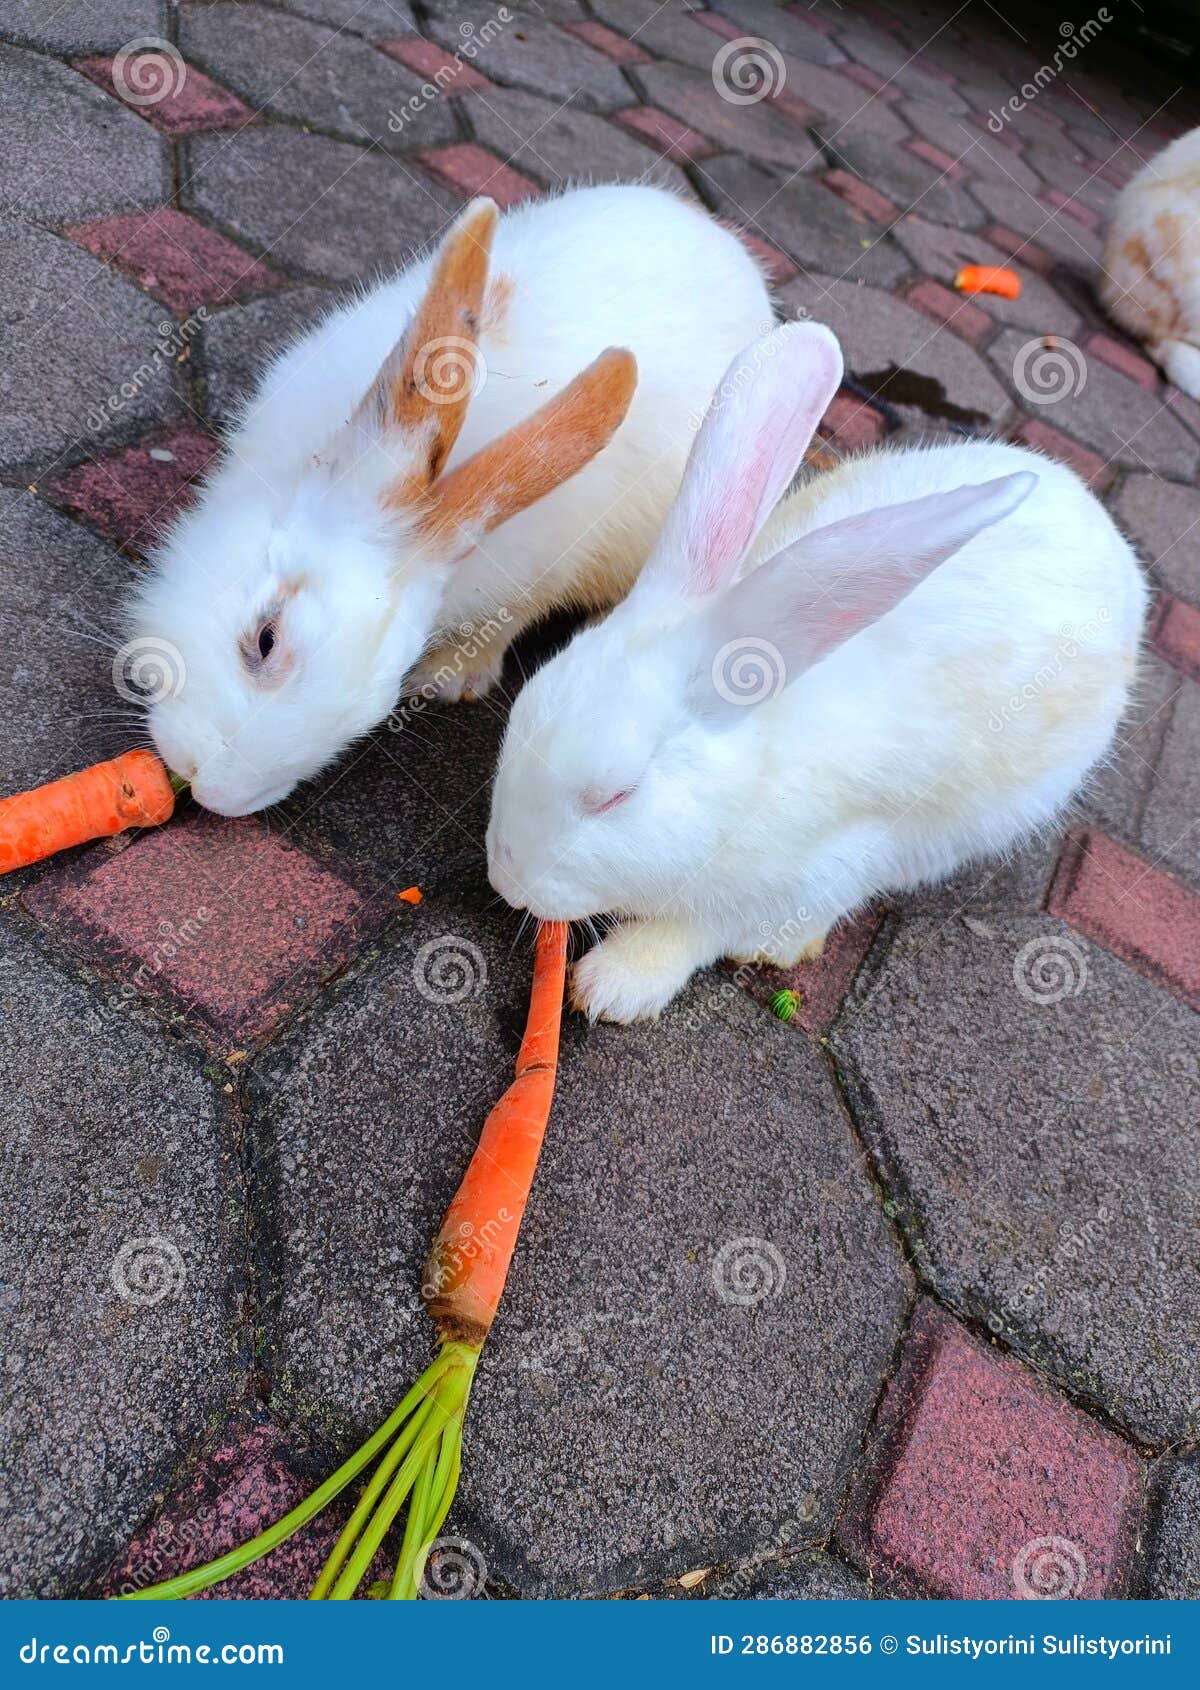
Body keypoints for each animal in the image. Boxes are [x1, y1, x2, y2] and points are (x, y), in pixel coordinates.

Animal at [487, 322, 1148, 1023]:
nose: (505, 877)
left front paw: (614, 985)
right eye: (522, 710)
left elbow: (694, 932)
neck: (749, 779)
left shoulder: (818, 871)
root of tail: (1100, 522)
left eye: (617, 796)